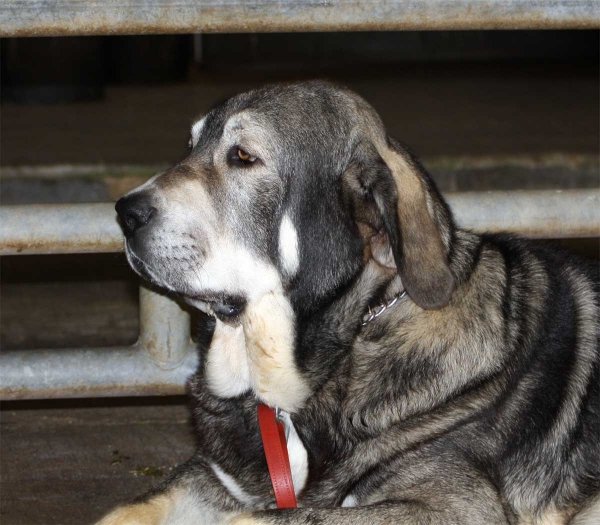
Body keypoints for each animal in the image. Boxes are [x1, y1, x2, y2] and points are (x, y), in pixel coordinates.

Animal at [101, 82, 596, 524]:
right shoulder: (217, 477)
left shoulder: (457, 507)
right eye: (190, 146)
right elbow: (128, 510)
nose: (126, 213)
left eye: (242, 156)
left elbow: (252, 520)